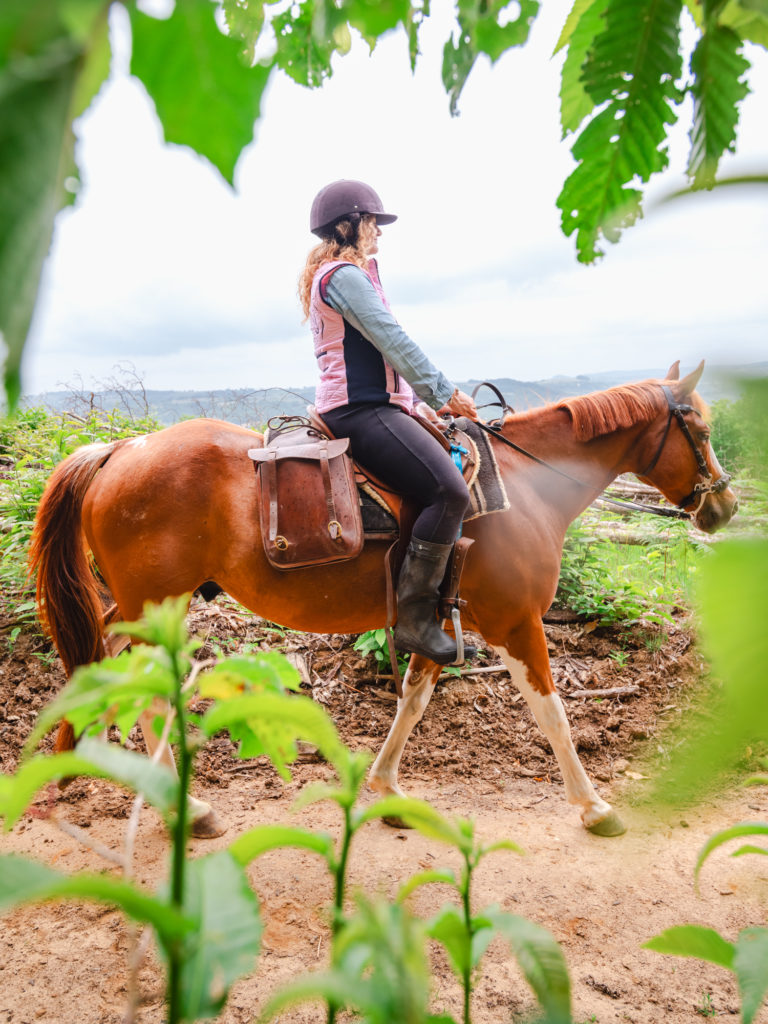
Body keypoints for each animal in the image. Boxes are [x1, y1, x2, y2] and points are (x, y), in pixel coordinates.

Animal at [29, 360, 736, 838]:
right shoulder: (516, 623)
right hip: (157, 610)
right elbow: (553, 714)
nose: (725, 506)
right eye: (700, 429)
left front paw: (387, 785)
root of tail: (122, 448)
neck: (526, 486)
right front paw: (594, 807)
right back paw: (187, 806)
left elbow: (414, 700)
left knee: (103, 662)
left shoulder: (436, 621)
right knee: (140, 689)